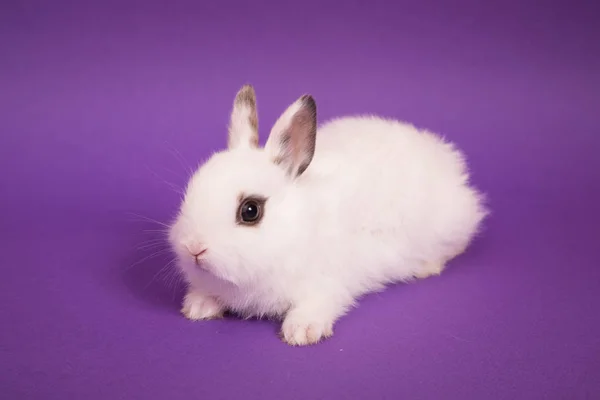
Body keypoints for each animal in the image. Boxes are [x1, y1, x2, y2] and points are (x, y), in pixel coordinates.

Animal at [169, 85, 488, 346]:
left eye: (250, 211)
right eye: (190, 193)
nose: (194, 248)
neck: (297, 228)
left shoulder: (327, 284)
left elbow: (318, 303)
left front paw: (301, 331)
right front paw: (198, 307)